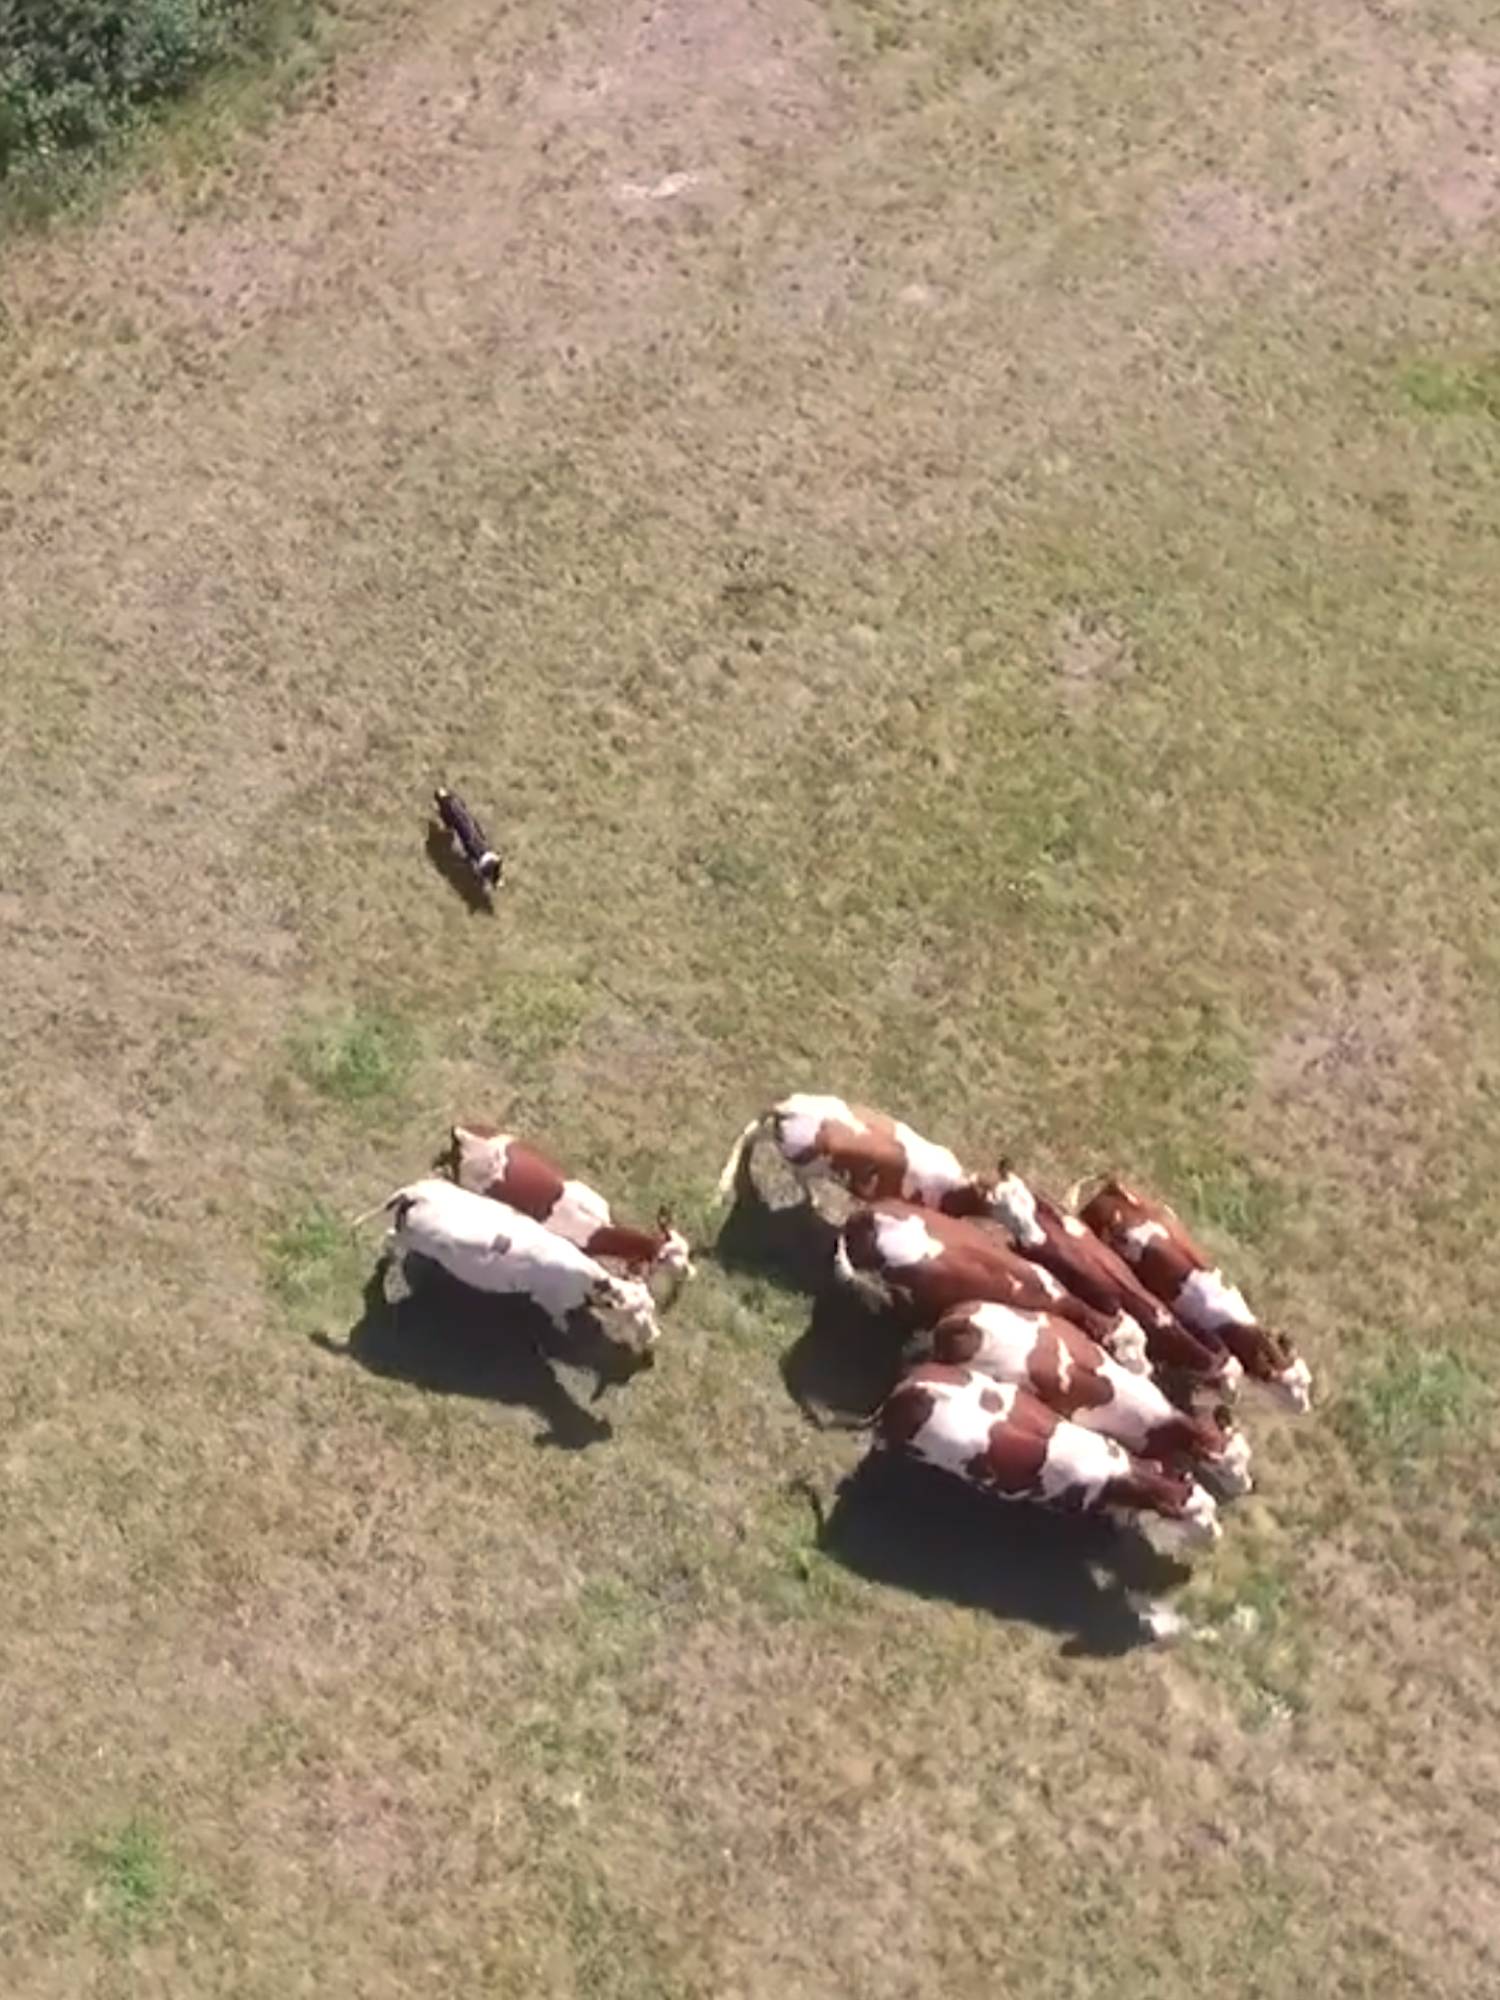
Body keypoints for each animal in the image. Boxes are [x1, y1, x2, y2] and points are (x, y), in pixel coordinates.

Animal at [375, 1178, 660, 1357]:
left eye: (652, 1306)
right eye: (634, 1316)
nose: (655, 1336)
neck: (587, 1280)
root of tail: (416, 1193)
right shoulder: (549, 1301)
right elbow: (559, 1319)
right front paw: (563, 1329)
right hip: (409, 1236)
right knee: (389, 1238)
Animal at [716, 1093, 1005, 1219]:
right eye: (1000, 1201)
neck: (955, 1188)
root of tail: (788, 1106)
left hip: (783, 1140)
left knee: (752, 1134)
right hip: (801, 1158)